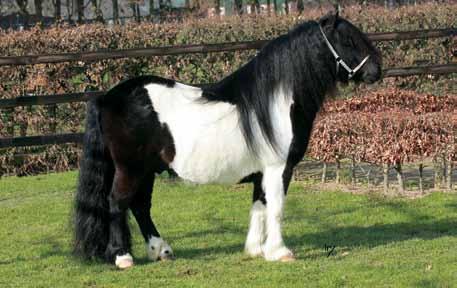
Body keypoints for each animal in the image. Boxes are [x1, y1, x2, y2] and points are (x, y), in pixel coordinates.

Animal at [74, 12, 382, 270]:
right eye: (347, 40)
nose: (377, 70)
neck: (276, 101)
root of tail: (107, 97)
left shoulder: (261, 172)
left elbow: (260, 206)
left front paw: (256, 250)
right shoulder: (279, 168)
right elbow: (277, 208)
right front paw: (280, 252)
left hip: (147, 170)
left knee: (140, 206)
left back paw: (161, 250)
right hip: (131, 169)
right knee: (117, 203)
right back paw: (122, 257)